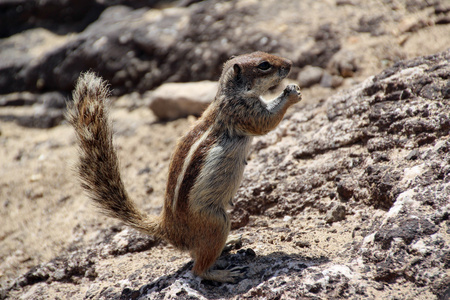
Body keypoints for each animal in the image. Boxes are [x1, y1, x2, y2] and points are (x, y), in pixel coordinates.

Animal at [67, 50, 302, 282]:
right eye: (264, 65)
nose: (290, 64)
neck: (230, 94)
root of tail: (169, 229)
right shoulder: (244, 113)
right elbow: (267, 122)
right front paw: (291, 94)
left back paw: (229, 243)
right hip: (216, 223)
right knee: (198, 269)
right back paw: (224, 274)